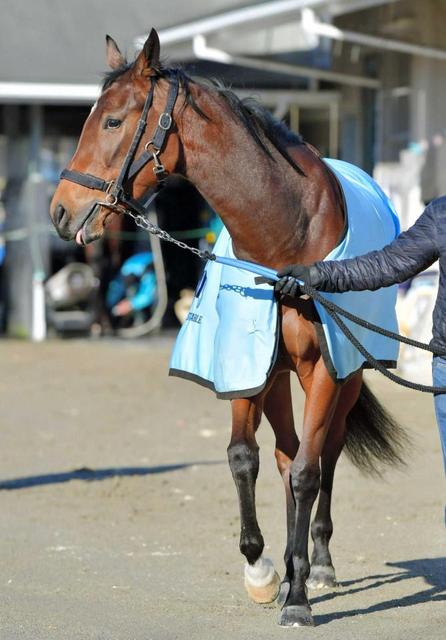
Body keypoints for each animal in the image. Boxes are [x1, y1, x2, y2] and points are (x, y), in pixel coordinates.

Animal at [50, 28, 406, 624]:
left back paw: (318, 565)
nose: (60, 211)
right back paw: (289, 568)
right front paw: (263, 571)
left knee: (324, 456)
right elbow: (246, 458)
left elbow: (310, 470)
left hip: (346, 376)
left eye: (114, 122)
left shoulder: (324, 370)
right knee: (286, 456)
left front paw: (299, 598)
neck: (285, 243)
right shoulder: (246, 363)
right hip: (279, 375)